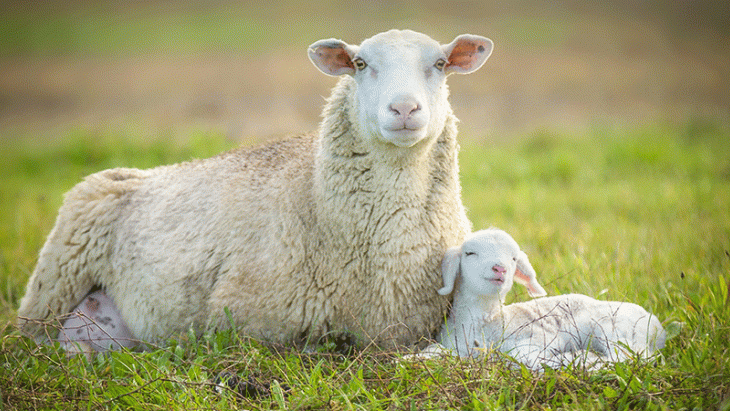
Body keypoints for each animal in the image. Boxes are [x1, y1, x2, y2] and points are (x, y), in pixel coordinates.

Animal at [436, 228, 666, 369]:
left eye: (513, 259)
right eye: (470, 253)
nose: (499, 268)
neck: (487, 320)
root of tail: (657, 327)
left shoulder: (537, 338)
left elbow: (524, 356)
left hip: (616, 329)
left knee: (631, 358)